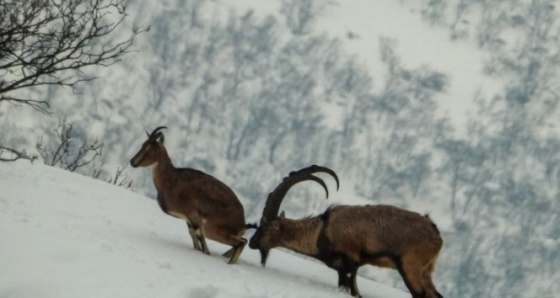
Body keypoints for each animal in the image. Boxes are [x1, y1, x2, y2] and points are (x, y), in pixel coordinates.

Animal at [131, 125, 247, 264]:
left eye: (150, 149)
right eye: (143, 145)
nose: (132, 162)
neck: (171, 181)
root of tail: (242, 222)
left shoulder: (193, 215)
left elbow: (200, 239)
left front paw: (206, 253)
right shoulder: (188, 219)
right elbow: (194, 237)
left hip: (213, 229)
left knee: (240, 243)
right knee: (243, 241)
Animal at [249, 165, 442, 298]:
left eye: (264, 227)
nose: (251, 243)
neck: (321, 231)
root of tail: (436, 235)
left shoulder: (351, 261)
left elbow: (353, 288)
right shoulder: (343, 269)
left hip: (409, 267)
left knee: (420, 294)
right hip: (425, 272)